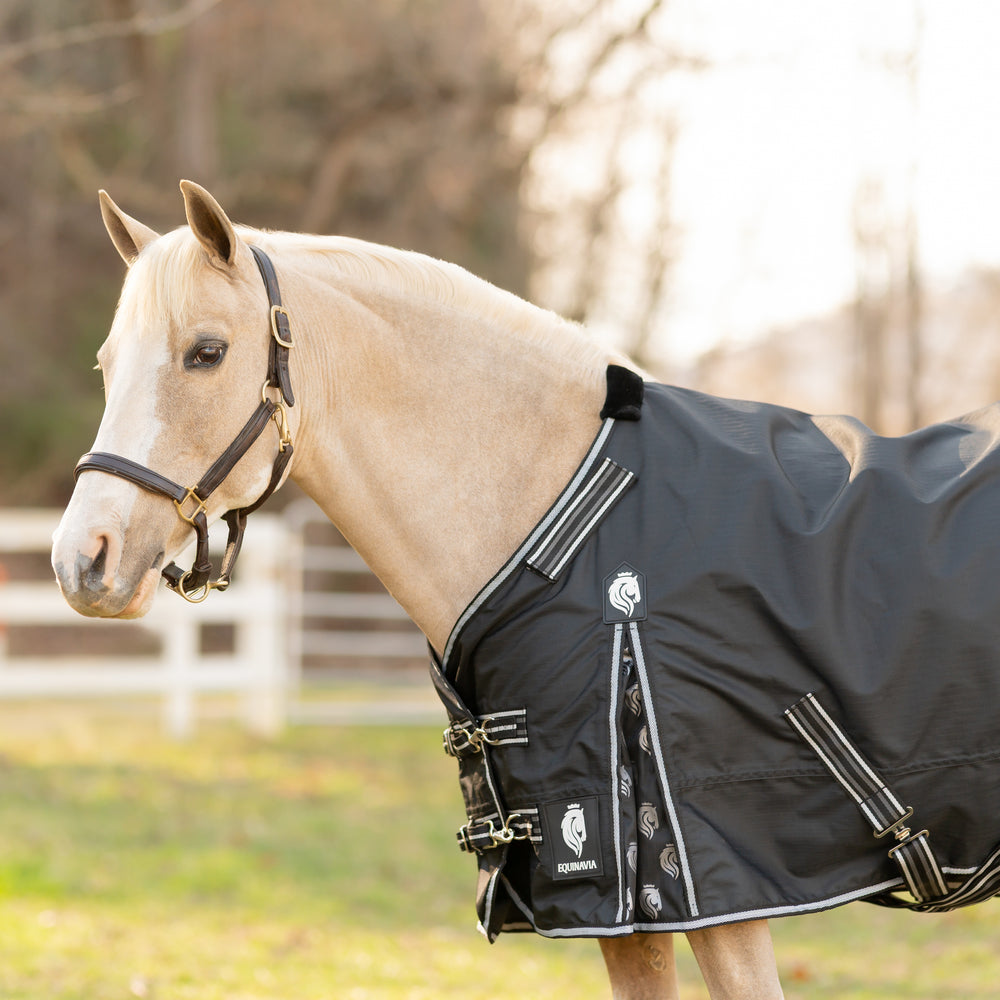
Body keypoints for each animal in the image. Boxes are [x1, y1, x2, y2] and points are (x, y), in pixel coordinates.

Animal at [54, 181, 1000, 997]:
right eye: (105, 363)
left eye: (206, 353)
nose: (82, 561)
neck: (582, 524)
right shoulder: (623, 914)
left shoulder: (718, 891)